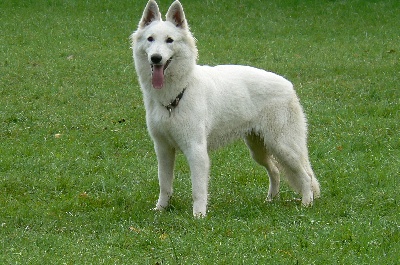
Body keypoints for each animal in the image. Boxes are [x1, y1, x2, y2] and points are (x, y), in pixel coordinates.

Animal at [131, 0, 318, 217]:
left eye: (169, 40)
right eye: (150, 39)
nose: (156, 58)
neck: (176, 94)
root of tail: (289, 86)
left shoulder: (196, 151)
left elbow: (198, 189)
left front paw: (199, 216)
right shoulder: (163, 149)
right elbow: (165, 184)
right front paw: (161, 210)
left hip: (283, 146)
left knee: (305, 176)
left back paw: (306, 204)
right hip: (258, 150)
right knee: (275, 171)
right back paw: (271, 200)